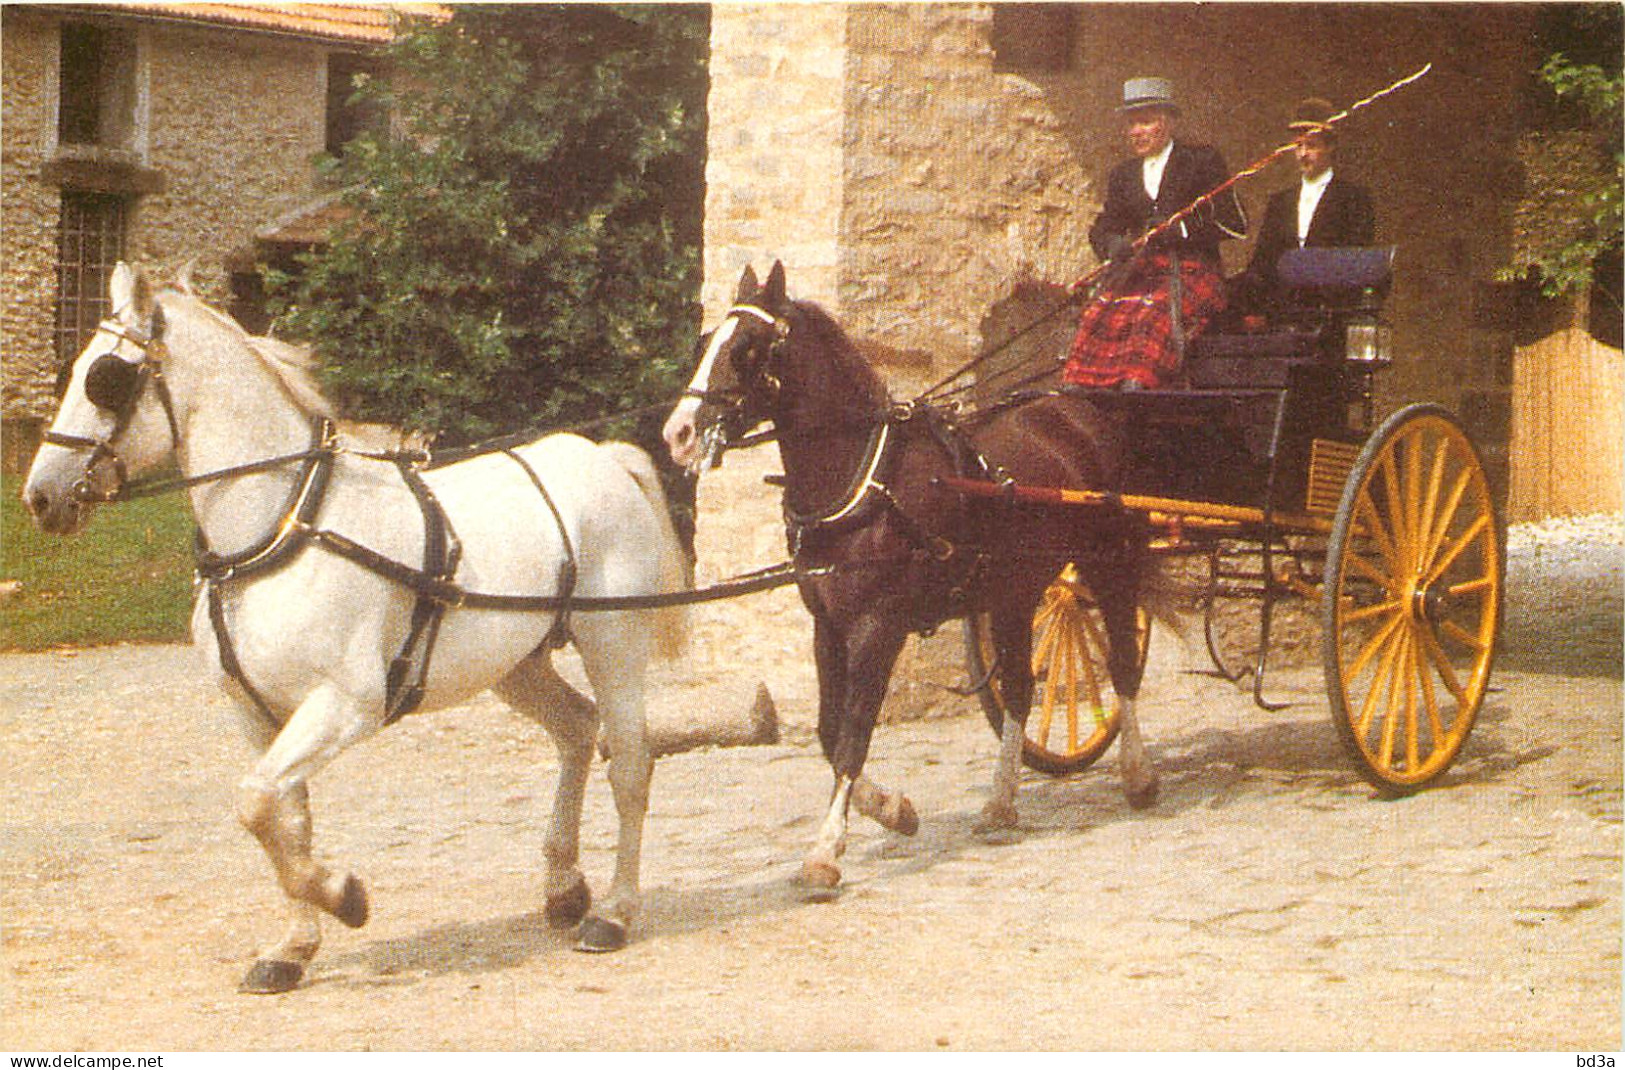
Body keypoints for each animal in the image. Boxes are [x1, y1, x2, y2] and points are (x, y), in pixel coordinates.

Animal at [23, 265, 692, 988]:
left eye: (108, 378)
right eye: (78, 368)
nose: (40, 495)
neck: (281, 530)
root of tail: (603, 458)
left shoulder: (348, 705)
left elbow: (254, 804)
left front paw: (345, 896)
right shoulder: (257, 715)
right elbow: (283, 816)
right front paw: (291, 948)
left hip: (612, 645)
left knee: (630, 764)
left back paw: (613, 914)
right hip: (515, 664)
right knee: (575, 729)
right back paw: (564, 889)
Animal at [663, 265, 1157, 891]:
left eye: (747, 349)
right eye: (708, 343)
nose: (677, 434)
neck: (864, 483)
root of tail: (1079, 414)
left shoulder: (879, 626)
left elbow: (854, 731)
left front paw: (825, 849)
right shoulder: (827, 626)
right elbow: (828, 730)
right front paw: (892, 810)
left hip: (1110, 563)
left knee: (1121, 664)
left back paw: (1138, 776)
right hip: (1015, 591)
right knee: (1021, 689)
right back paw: (1001, 803)